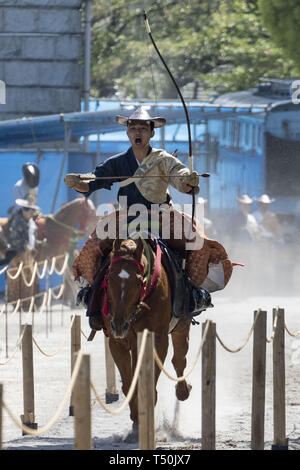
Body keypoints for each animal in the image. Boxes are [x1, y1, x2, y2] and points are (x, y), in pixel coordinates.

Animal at [90, 237, 191, 432]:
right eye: (108, 278)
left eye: (138, 282)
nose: (119, 324)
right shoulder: (117, 343)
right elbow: (129, 383)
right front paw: (136, 418)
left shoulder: (158, 339)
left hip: (181, 326)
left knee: (179, 360)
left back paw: (183, 390)